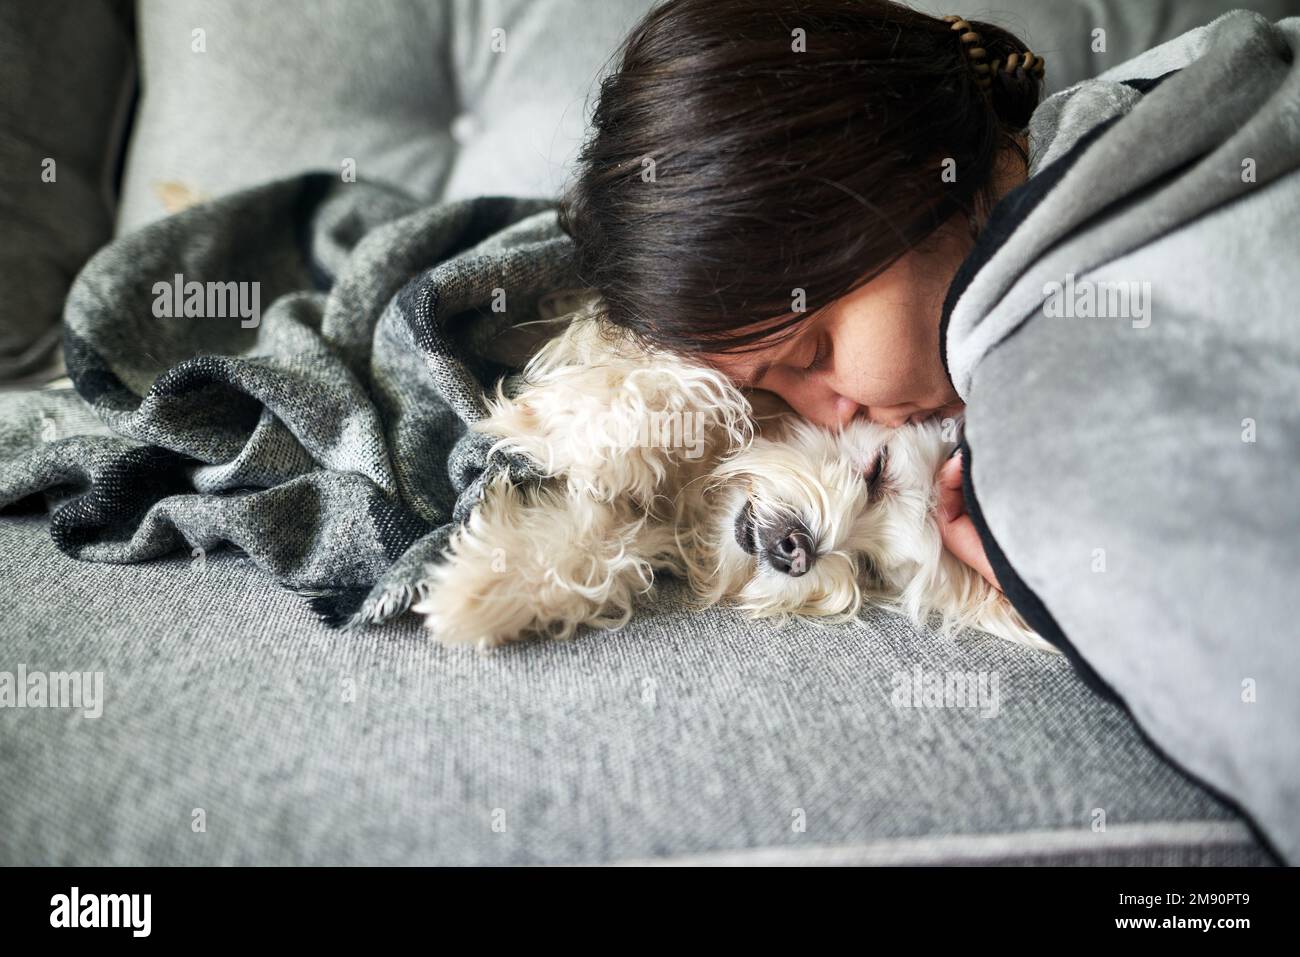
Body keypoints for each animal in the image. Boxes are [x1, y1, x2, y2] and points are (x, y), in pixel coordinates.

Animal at [410, 299, 1050, 655]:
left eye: (871, 570)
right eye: (876, 473)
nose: (799, 551)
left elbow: (592, 544)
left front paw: (483, 590)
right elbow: (677, 381)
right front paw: (583, 437)